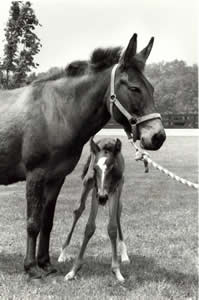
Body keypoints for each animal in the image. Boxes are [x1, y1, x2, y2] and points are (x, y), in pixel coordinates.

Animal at [58, 137, 131, 282]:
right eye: (95, 168)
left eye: (112, 167)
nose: (103, 198)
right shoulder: (95, 191)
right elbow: (89, 227)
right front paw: (73, 270)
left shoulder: (114, 190)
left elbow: (112, 227)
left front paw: (116, 270)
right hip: (87, 184)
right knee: (78, 209)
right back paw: (63, 252)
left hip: (119, 188)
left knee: (118, 212)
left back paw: (124, 254)